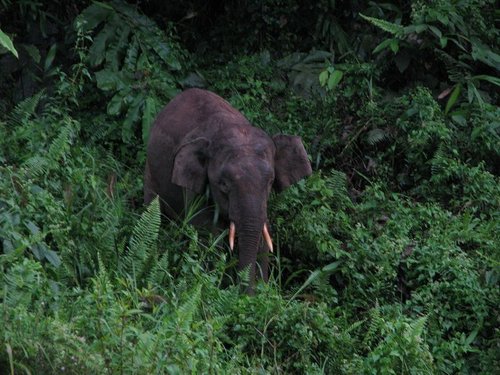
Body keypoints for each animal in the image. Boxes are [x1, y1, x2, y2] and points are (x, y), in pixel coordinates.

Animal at [143, 89, 310, 290]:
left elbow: (263, 232)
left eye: (270, 182)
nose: (244, 292)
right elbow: (208, 232)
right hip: (150, 171)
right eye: (223, 184)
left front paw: (262, 289)